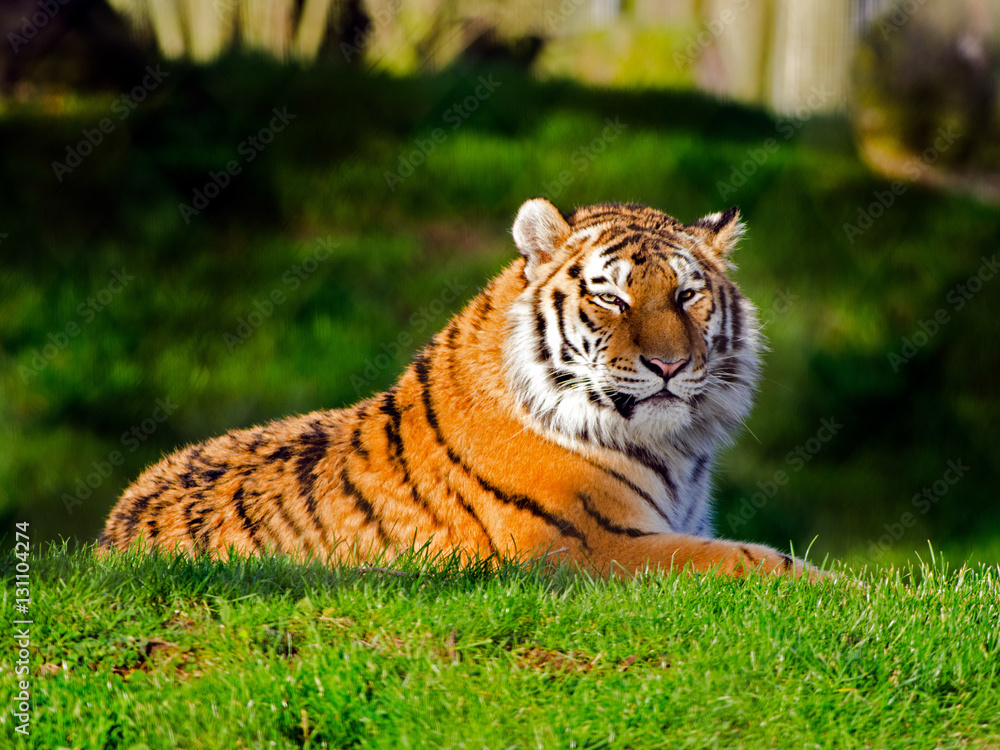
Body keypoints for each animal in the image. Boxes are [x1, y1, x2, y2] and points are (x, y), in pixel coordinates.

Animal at [98, 198, 822, 580]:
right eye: (611, 298)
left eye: (687, 296)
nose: (669, 365)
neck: (674, 451)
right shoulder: (591, 547)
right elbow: (762, 562)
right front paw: (846, 591)